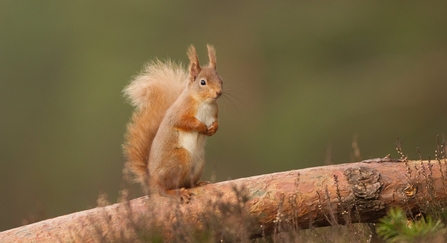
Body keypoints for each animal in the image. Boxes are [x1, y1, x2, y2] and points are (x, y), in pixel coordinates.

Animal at [122, 44, 222, 202]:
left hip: (198, 163)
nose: (219, 92)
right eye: (203, 82)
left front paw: (213, 129)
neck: (205, 102)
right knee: (164, 190)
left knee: (186, 183)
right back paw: (176, 193)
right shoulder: (180, 111)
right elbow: (183, 122)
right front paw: (200, 126)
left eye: (221, 79)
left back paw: (198, 184)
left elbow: (216, 123)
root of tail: (153, 181)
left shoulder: (214, 113)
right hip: (180, 159)